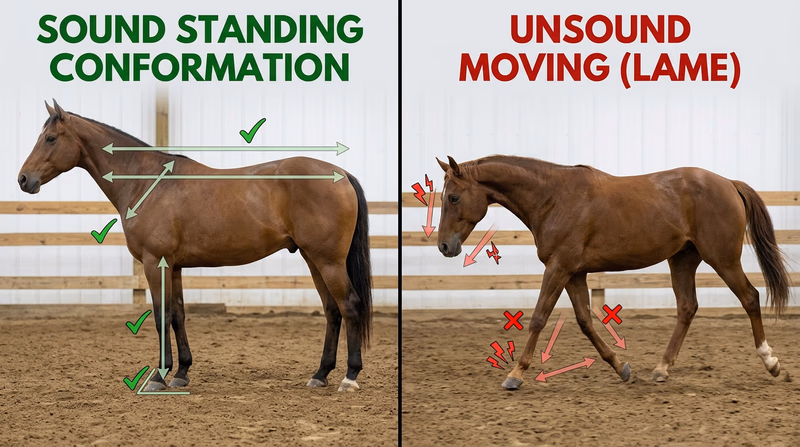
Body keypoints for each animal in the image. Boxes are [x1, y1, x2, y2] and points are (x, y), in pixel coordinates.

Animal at [18, 100, 373, 393]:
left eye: (50, 139)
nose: (23, 179)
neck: (146, 182)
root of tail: (341, 174)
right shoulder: (172, 266)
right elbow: (178, 315)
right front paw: (181, 372)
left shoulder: (154, 263)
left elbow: (161, 316)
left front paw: (159, 376)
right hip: (314, 260)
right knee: (332, 311)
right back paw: (320, 374)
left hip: (328, 261)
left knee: (349, 306)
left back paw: (349, 377)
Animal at [435, 155, 790, 390]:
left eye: (453, 197)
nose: (444, 246)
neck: (553, 198)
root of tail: (729, 184)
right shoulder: (574, 273)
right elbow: (585, 321)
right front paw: (621, 368)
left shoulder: (559, 267)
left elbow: (538, 317)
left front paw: (515, 375)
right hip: (683, 260)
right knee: (687, 307)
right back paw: (661, 369)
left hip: (723, 259)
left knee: (750, 297)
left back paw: (771, 362)